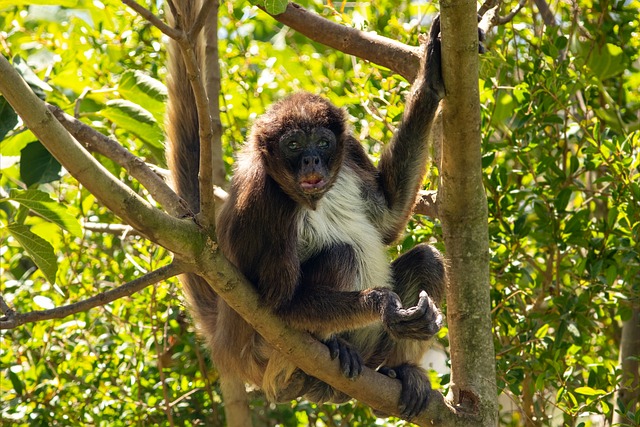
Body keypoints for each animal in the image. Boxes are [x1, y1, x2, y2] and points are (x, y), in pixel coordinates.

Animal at [166, 0, 456, 422]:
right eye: (292, 145)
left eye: (321, 141)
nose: (311, 161)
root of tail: (225, 342)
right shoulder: (263, 201)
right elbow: (279, 309)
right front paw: (383, 304)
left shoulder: (349, 150)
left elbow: (388, 220)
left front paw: (430, 76)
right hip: (265, 355)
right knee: (341, 254)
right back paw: (324, 357)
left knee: (427, 259)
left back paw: (399, 370)